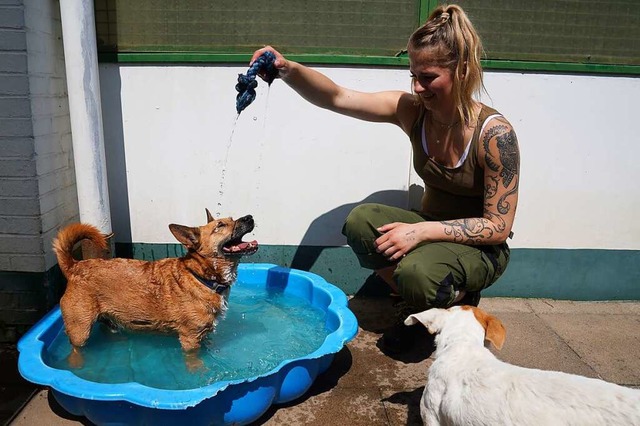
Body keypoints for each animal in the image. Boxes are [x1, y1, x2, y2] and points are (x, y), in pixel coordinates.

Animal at [53, 208, 258, 364]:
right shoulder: (190, 339)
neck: (200, 276)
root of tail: (75, 266)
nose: (250, 217)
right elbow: (194, 362)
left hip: (109, 320)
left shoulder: (204, 333)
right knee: (77, 350)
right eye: (220, 226)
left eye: (232, 219)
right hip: (80, 331)